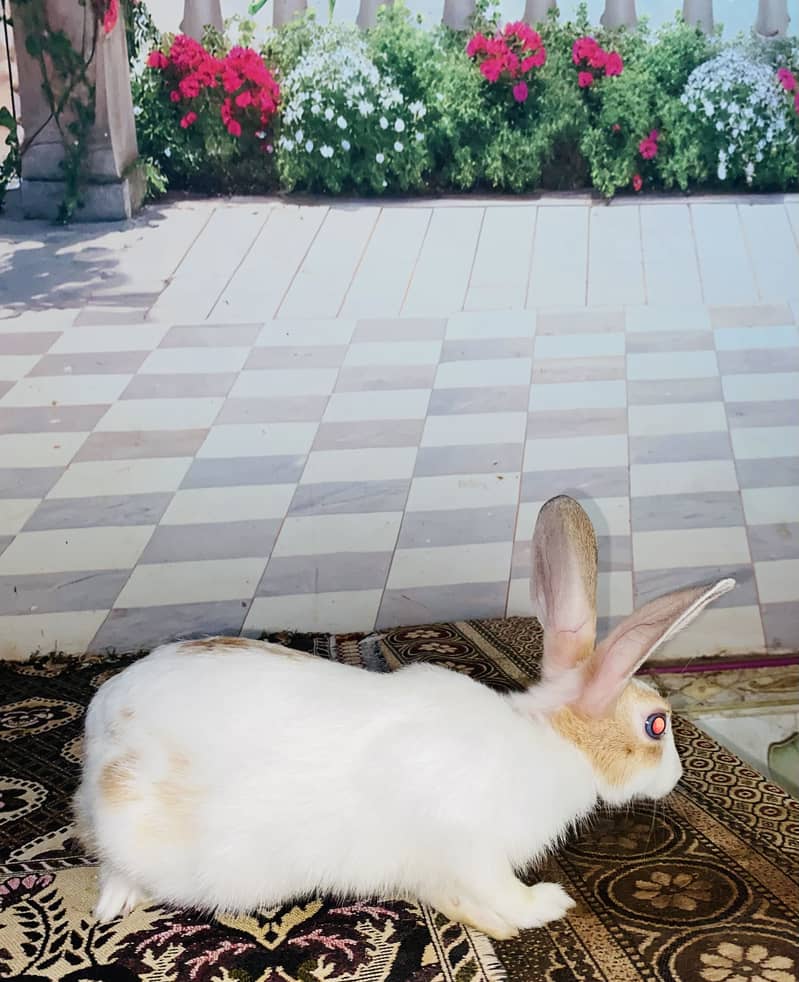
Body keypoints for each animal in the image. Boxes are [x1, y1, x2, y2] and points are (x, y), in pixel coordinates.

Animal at [74, 494, 734, 940]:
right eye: (657, 725)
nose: (678, 778)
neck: (552, 742)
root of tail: (102, 717)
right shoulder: (474, 849)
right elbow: (502, 890)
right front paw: (545, 906)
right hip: (138, 829)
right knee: (113, 864)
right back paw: (114, 904)